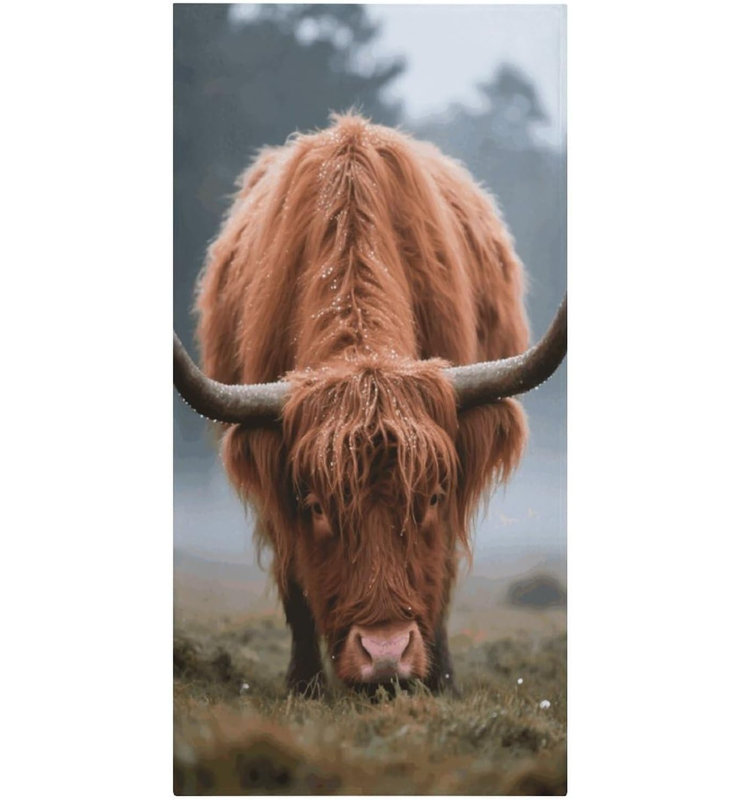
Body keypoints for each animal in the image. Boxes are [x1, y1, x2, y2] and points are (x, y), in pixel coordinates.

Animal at [174, 114, 566, 696]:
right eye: (316, 505)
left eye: (431, 497)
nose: (385, 655)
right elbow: (293, 573)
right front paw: (305, 684)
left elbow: (441, 567)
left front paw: (440, 680)